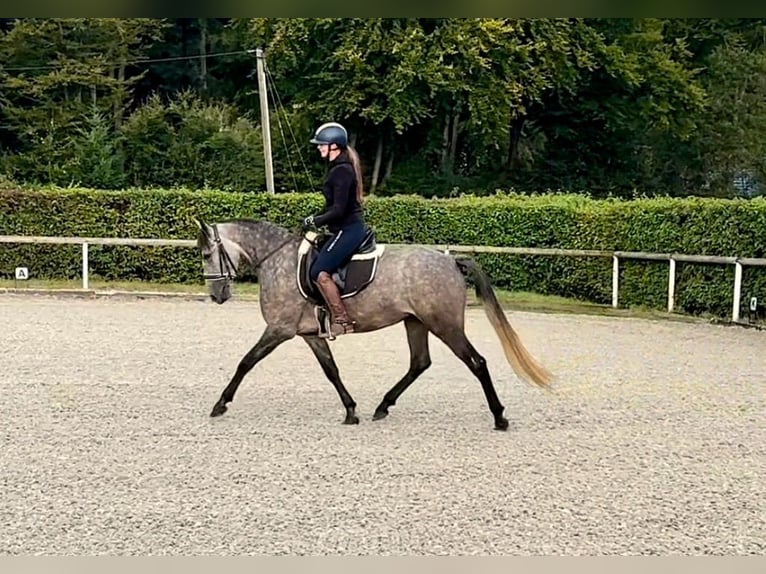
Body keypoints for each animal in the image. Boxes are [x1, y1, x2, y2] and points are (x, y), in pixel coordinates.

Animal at [192, 218, 552, 430]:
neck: (276, 259)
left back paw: (500, 417)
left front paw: (220, 404)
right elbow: (331, 370)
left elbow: (245, 362)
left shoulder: (278, 330)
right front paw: (351, 411)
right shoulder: (309, 334)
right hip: (415, 322)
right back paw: (383, 406)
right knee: (420, 363)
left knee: (477, 362)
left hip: (445, 325)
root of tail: (450, 261)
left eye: (208, 254)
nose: (216, 295)